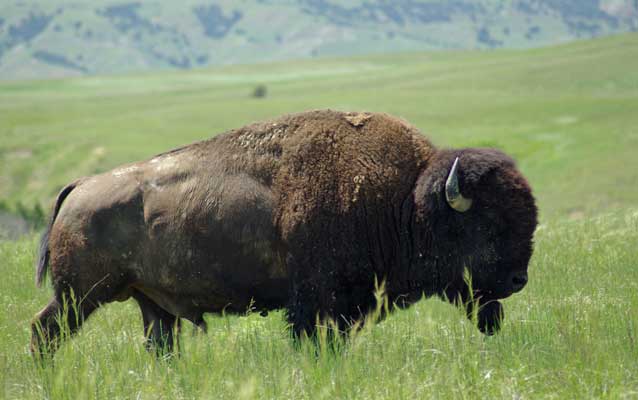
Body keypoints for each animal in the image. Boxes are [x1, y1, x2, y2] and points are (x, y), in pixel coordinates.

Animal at [31, 110, 540, 356]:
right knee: (44, 331)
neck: (404, 199)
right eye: (486, 223)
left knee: (159, 345)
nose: (519, 280)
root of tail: (79, 186)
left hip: (151, 305)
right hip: (79, 295)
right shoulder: (316, 303)